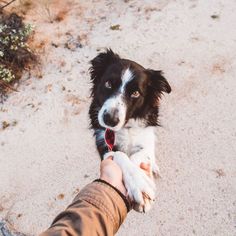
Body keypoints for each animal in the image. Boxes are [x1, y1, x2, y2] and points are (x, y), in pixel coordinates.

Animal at [87, 49, 171, 212]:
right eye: (108, 84)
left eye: (135, 93)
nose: (110, 119)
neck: (124, 128)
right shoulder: (104, 146)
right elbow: (120, 155)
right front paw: (138, 183)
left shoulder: (146, 138)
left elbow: (139, 155)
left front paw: (142, 180)